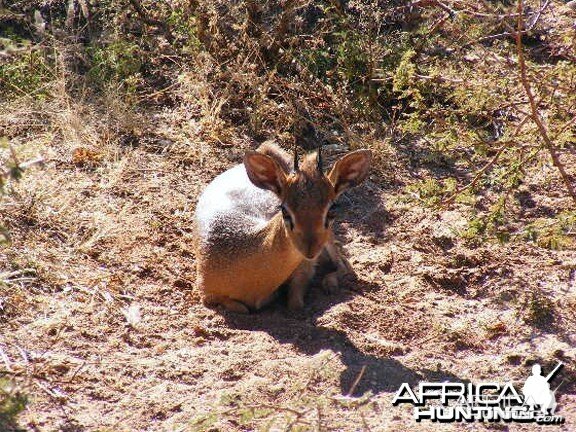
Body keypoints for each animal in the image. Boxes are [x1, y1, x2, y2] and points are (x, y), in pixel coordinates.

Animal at [196, 142, 372, 314]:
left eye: (332, 209)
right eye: (284, 210)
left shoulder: (305, 268)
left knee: (344, 264)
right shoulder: (206, 292)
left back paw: (330, 283)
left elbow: (295, 304)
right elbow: (241, 308)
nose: (310, 249)